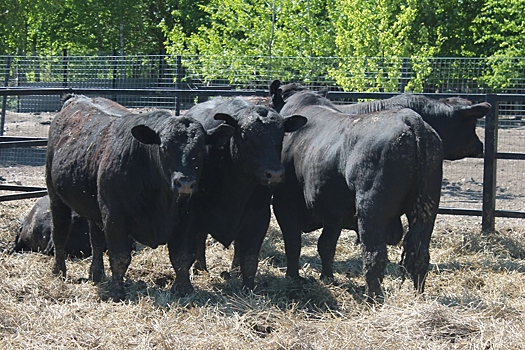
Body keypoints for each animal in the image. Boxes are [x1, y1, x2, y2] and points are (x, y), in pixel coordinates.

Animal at [45, 95, 233, 300]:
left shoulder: (187, 217)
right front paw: (117, 292)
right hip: (55, 196)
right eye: (164, 148)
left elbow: (182, 256)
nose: (185, 183)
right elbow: (119, 257)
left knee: (95, 239)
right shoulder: (114, 215)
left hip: (94, 205)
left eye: (200, 149)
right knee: (60, 233)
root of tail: (77, 98)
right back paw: (59, 271)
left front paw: (184, 289)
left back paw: (96, 274)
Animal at [175, 97, 308, 292]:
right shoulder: (190, 212)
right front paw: (185, 286)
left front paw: (248, 288)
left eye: (280, 136)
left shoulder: (259, 216)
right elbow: (185, 252)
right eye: (246, 136)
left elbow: (250, 258)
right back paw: (201, 268)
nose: (275, 173)